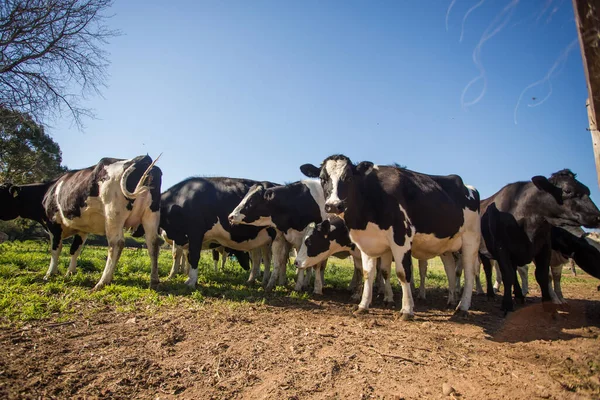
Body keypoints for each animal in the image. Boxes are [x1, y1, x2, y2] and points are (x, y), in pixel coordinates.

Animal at [0, 155, 162, 290]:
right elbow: (75, 250)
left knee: (116, 244)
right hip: (150, 216)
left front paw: (50, 274)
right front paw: (70, 272)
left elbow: (55, 250)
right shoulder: (82, 229)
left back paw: (103, 281)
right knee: (153, 244)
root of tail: (141, 160)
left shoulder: (54, 224)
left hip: (113, 215)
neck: (48, 192)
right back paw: (154, 280)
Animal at [302, 155, 480, 320]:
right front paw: (363, 305)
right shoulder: (368, 243)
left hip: (470, 240)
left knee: (469, 273)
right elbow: (368, 273)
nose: (333, 205)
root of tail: (468, 187)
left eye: (349, 178)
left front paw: (407, 310)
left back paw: (462, 306)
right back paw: (451, 300)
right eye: (323, 179)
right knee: (450, 269)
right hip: (446, 246)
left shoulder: (401, 238)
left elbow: (402, 273)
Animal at [480, 169, 600, 312]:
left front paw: (548, 305)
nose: (598, 217)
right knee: (489, 271)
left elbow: (543, 276)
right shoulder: (501, 247)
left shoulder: (544, 247)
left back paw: (519, 295)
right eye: (567, 190)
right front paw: (507, 305)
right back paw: (491, 294)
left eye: (587, 190)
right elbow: (507, 275)